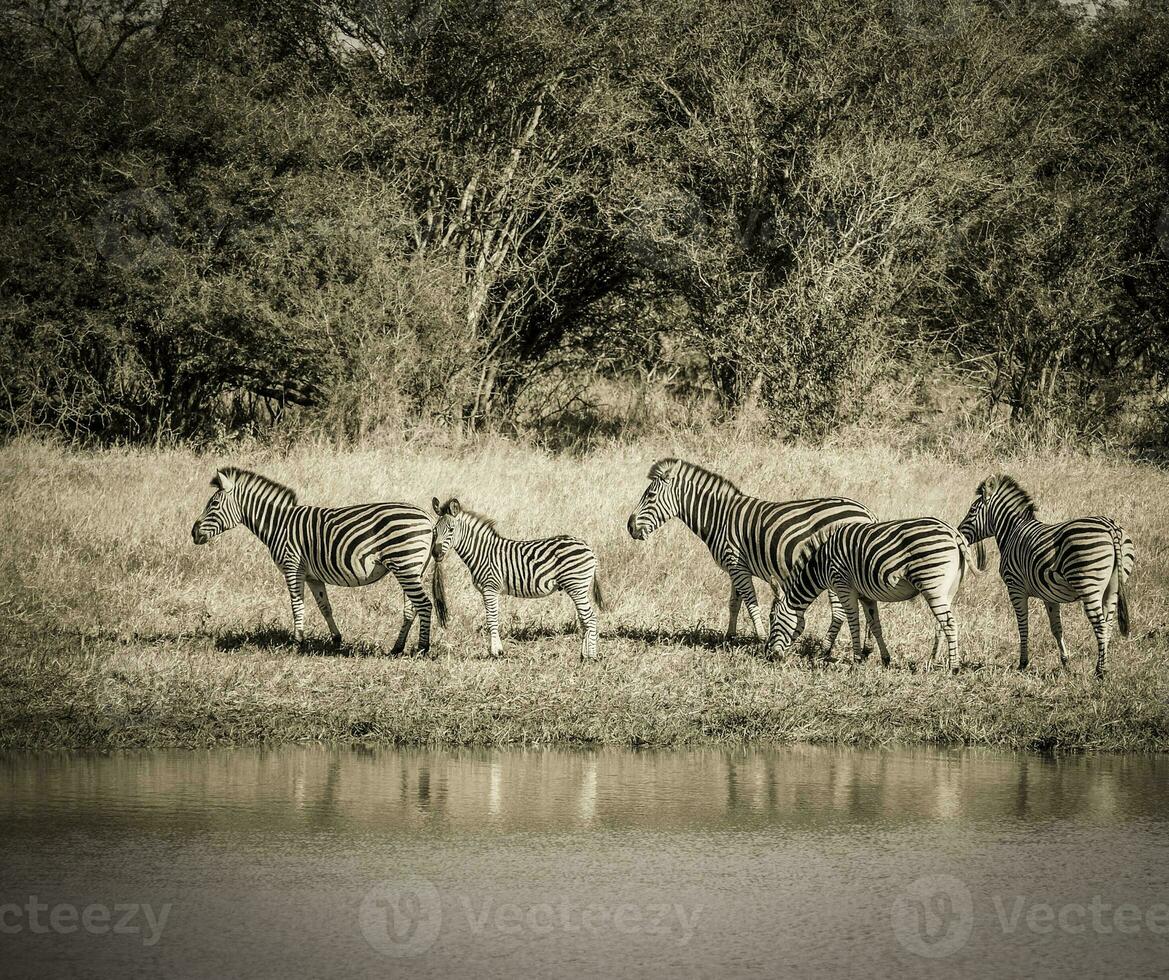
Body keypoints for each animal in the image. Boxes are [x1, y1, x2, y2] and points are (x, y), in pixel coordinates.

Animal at [191, 470, 446, 654]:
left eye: (213, 504)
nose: (193, 533)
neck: (279, 524)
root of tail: (428, 519)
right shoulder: (313, 576)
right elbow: (325, 607)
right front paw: (336, 639)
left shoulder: (292, 567)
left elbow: (296, 605)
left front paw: (298, 643)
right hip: (412, 569)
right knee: (410, 609)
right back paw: (396, 648)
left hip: (405, 566)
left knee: (424, 605)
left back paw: (422, 649)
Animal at [434, 495, 607, 664]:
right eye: (434, 530)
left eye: (451, 530)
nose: (436, 554)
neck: (482, 553)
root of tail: (586, 546)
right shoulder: (489, 590)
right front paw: (498, 650)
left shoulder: (490, 588)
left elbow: (491, 619)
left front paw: (496, 652)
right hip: (578, 588)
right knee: (584, 619)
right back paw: (583, 656)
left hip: (576, 586)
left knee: (590, 618)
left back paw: (591, 657)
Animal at [626, 458, 874, 650]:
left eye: (650, 495)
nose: (629, 527)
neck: (719, 517)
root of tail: (867, 513)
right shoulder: (735, 567)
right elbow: (734, 603)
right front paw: (729, 637)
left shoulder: (736, 564)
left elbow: (750, 601)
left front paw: (761, 636)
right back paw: (867, 647)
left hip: (835, 571)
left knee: (840, 611)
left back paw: (826, 647)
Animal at [766, 516, 977, 673]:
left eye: (772, 619)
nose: (768, 656)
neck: (820, 565)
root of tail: (953, 532)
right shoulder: (866, 596)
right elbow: (875, 626)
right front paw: (885, 659)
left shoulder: (843, 586)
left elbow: (853, 623)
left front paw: (855, 661)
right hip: (948, 590)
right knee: (941, 624)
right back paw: (934, 661)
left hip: (931, 584)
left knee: (948, 623)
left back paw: (954, 668)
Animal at [953, 477, 1136, 678]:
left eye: (972, 510)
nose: (958, 532)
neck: (1012, 531)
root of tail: (1111, 527)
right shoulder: (1050, 595)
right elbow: (1056, 628)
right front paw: (1065, 662)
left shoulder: (1015, 588)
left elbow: (1023, 626)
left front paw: (1023, 663)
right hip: (1113, 587)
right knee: (1108, 625)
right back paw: (1104, 665)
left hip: (1089, 584)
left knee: (1101, 626)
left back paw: (1100, 671)